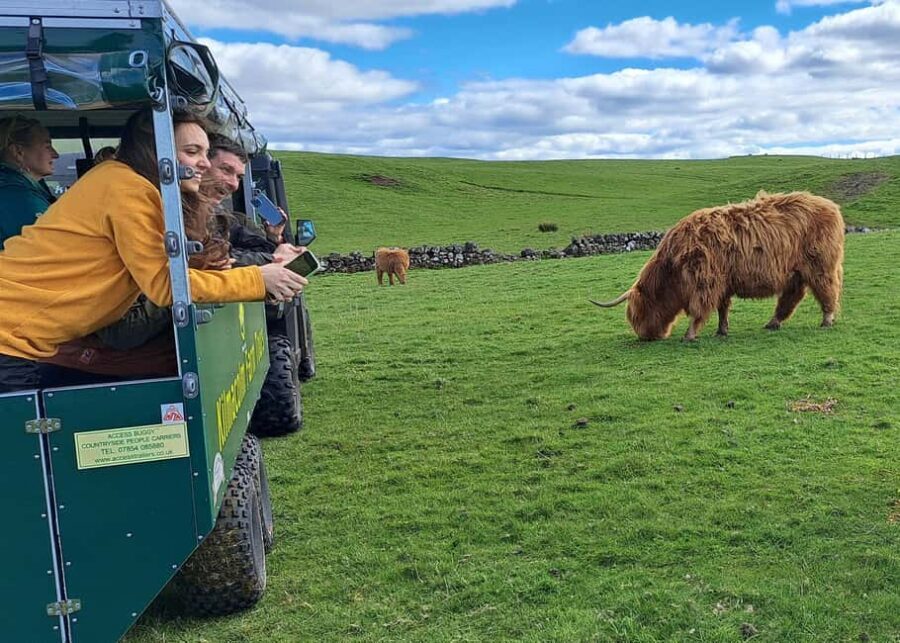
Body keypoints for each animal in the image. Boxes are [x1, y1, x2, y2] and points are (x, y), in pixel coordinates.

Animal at [591, 191, 845, 341]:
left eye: (636, 312)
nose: (644, 337)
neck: (673, 267)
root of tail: (830, 206)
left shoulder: (705, 281)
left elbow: (699, 309)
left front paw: (690, 335)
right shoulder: (721, 283)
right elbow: (722, 308)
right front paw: (721, 331)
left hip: (820, 266)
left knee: (827, 291)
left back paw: (826, 321)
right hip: (796, 273)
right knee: (791, 297)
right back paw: (772, 323)